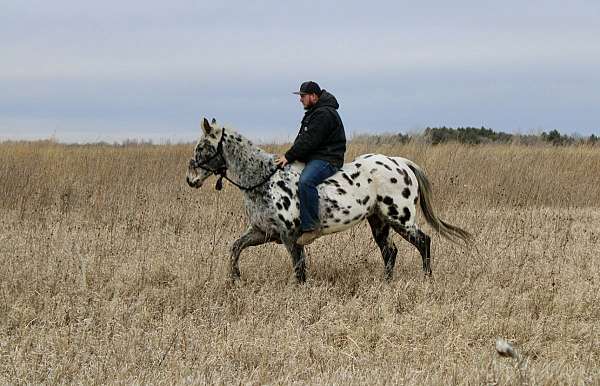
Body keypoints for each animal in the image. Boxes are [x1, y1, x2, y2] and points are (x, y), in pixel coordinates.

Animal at [185, 117, 472, 284]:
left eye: (202, 147)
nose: (191, 179)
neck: (265, 181)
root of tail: (399, 162)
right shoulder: (262, 232)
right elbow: (235, 248)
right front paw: (234, 279)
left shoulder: (290, 237)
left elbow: (299, 270)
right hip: (378, 221)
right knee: (390, 251)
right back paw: (386, 284)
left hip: (399, 217)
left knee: (423, 242)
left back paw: (427, 279)